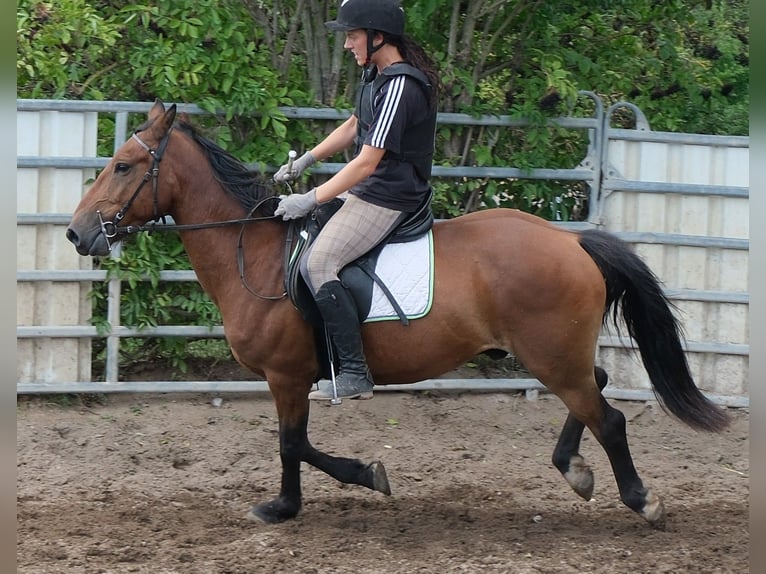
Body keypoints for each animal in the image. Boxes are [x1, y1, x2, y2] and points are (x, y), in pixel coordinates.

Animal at [66, 99, 729, 529]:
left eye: (124, 165)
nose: (77, 234)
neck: (253, 251)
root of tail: (573, 242)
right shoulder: (292, 378)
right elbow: (299, 444)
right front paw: (352, 481)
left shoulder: (287, 376)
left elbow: (292, 444)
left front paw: (291, 504)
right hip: (556, 354)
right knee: (595, 387)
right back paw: (575, 471)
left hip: (551, 355)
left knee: (607, 417)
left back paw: (641, 500)